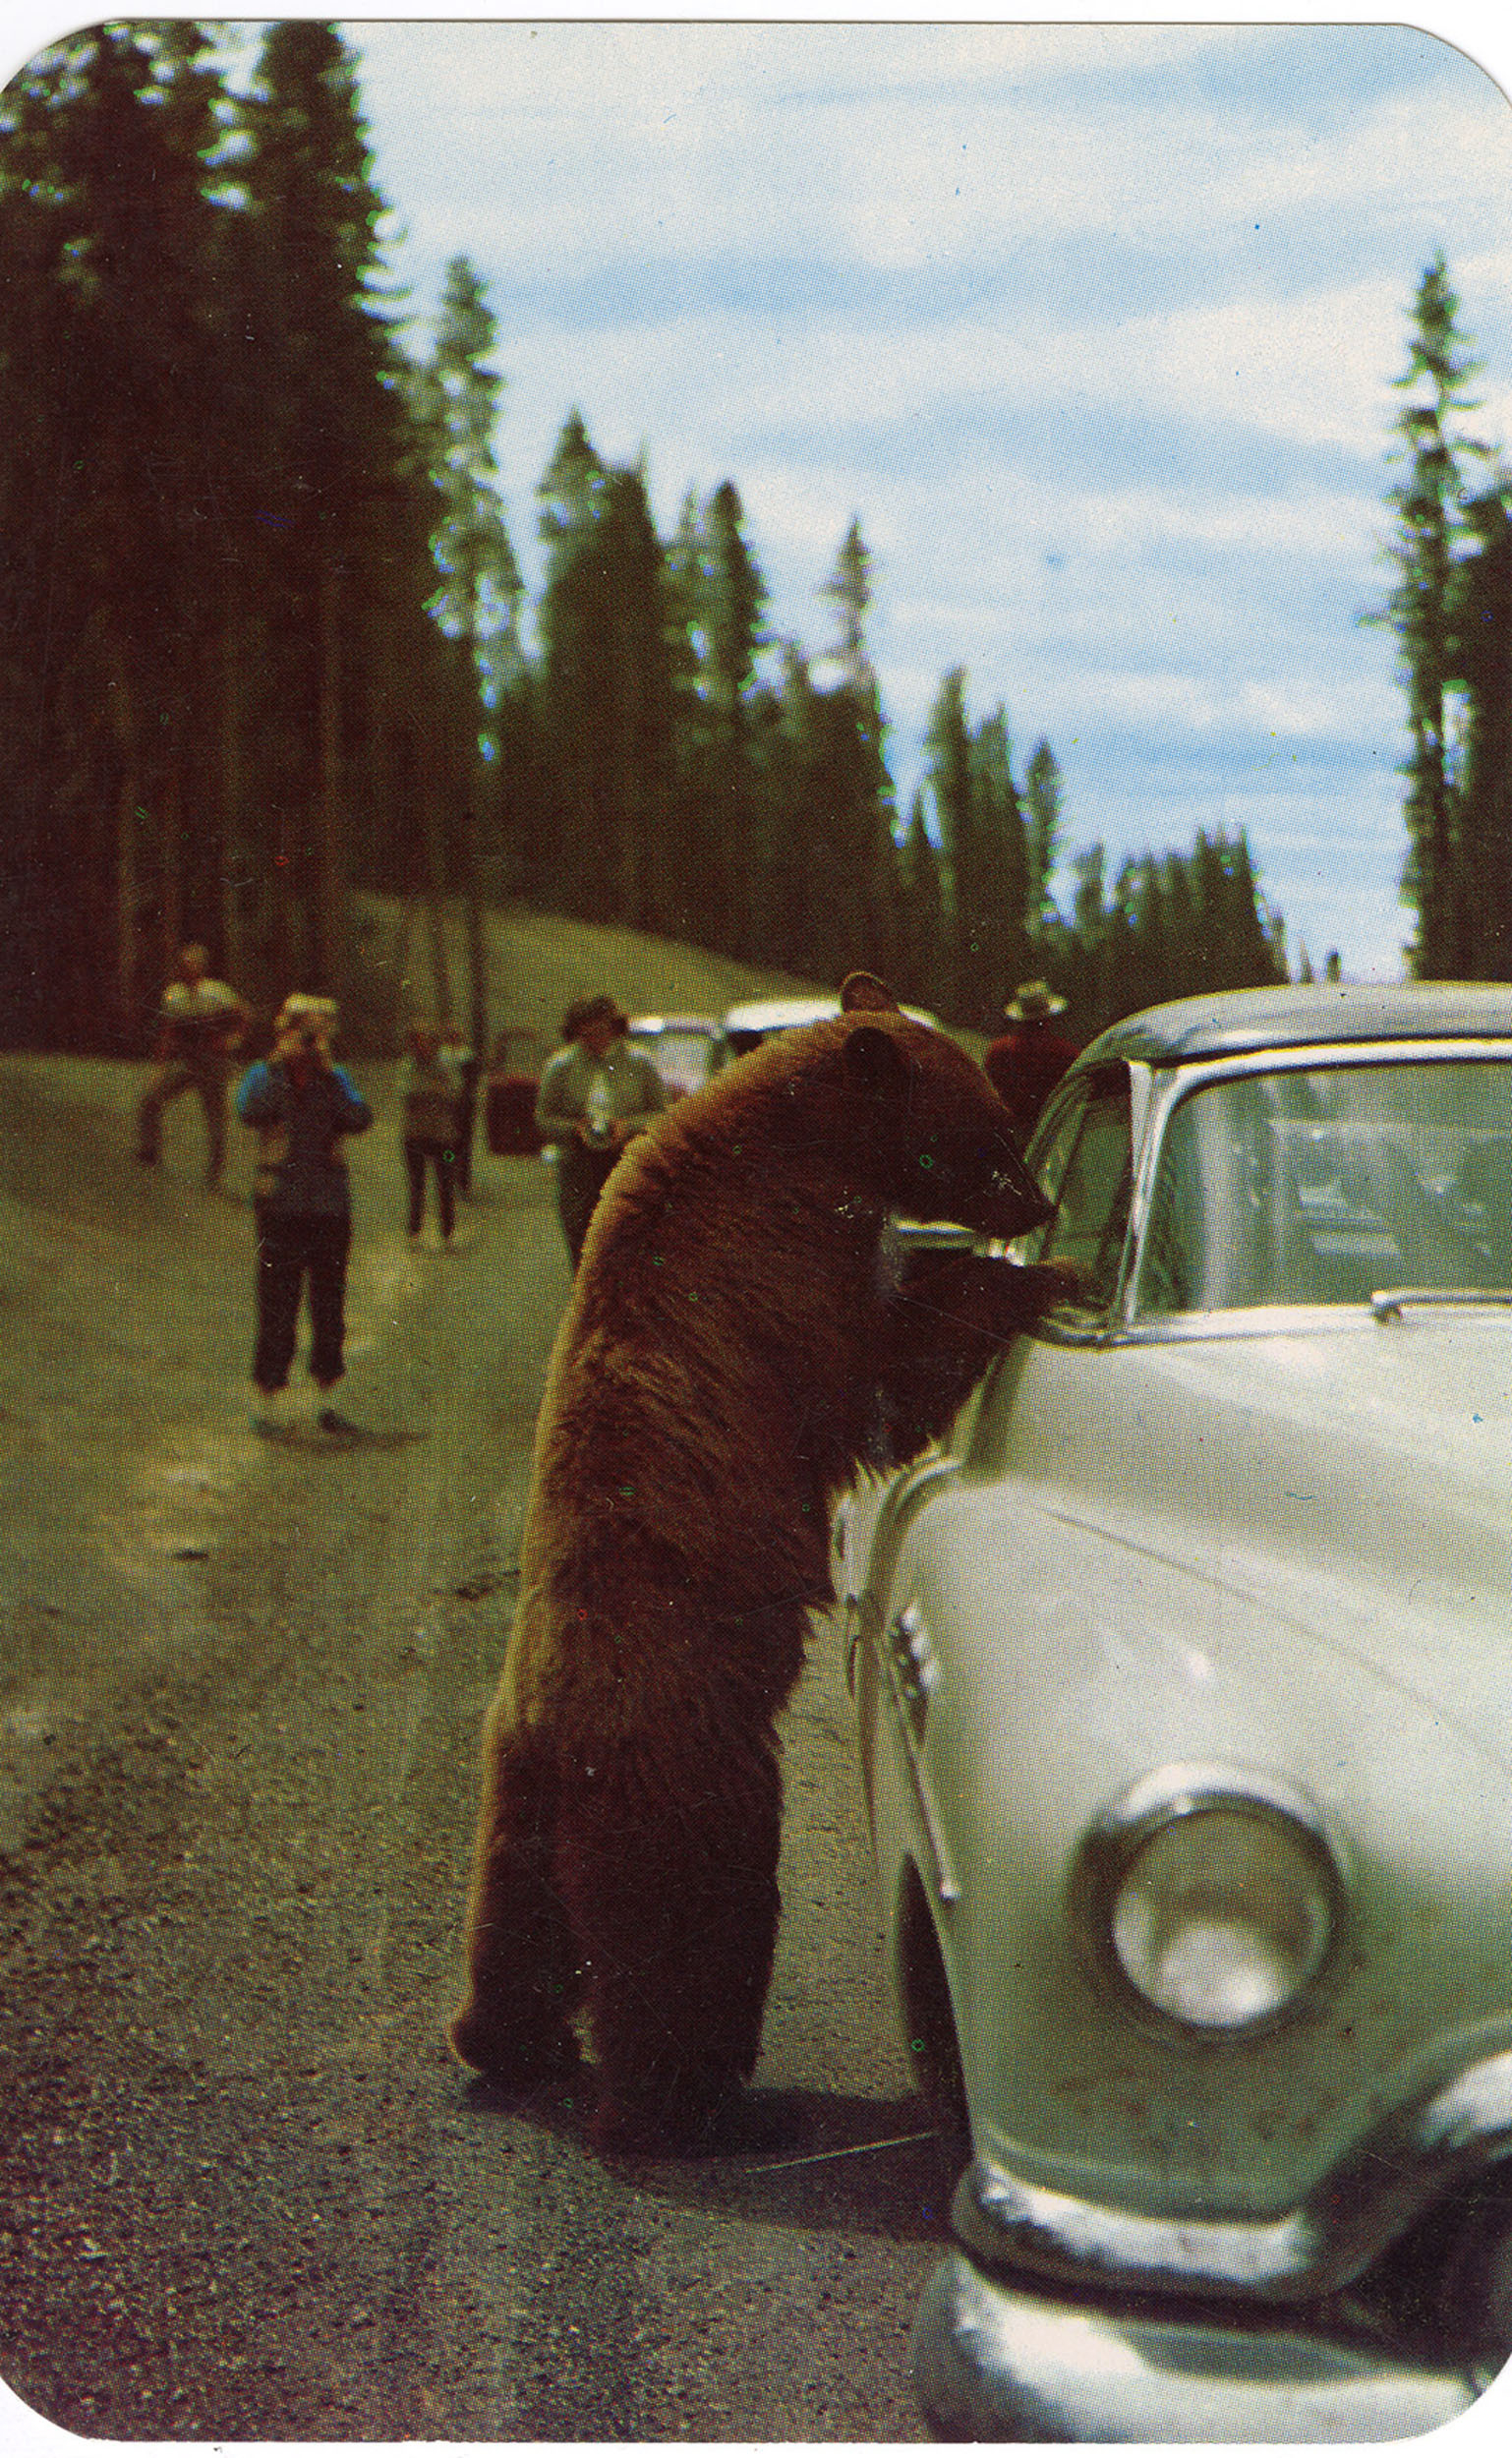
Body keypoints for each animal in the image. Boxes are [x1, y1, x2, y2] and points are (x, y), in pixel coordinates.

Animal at [448, 974, 1071, 2154]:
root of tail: (554, 1730)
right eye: (989, 1129)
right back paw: (688, 2106)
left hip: (513, 1793)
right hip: (692, 1778)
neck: (789, 1140)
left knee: (515, 1921)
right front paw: (1037, 1279)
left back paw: (504, 2044)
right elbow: (877, 1373)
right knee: (693, 1933)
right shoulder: (777, 1270)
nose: (1037, 1203)